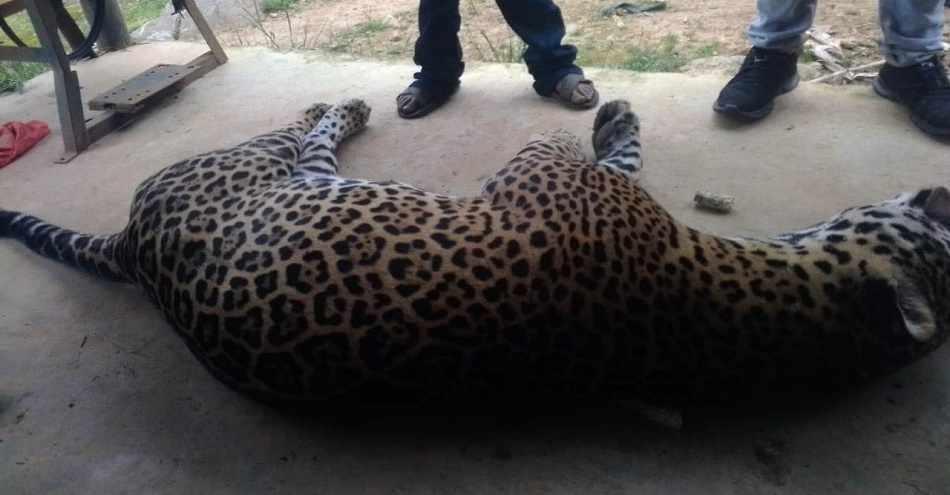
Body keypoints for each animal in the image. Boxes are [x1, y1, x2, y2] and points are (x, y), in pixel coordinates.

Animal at [1, 98, 948, 408]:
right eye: (943, 236)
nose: (940, 194)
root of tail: (133, 244)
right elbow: (612, 150)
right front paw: (614, 115)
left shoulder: (541, 174)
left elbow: (576, 146)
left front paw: (607, 117)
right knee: (310, 144)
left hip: (253, 168)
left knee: (300, 139)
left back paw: (338, 103)